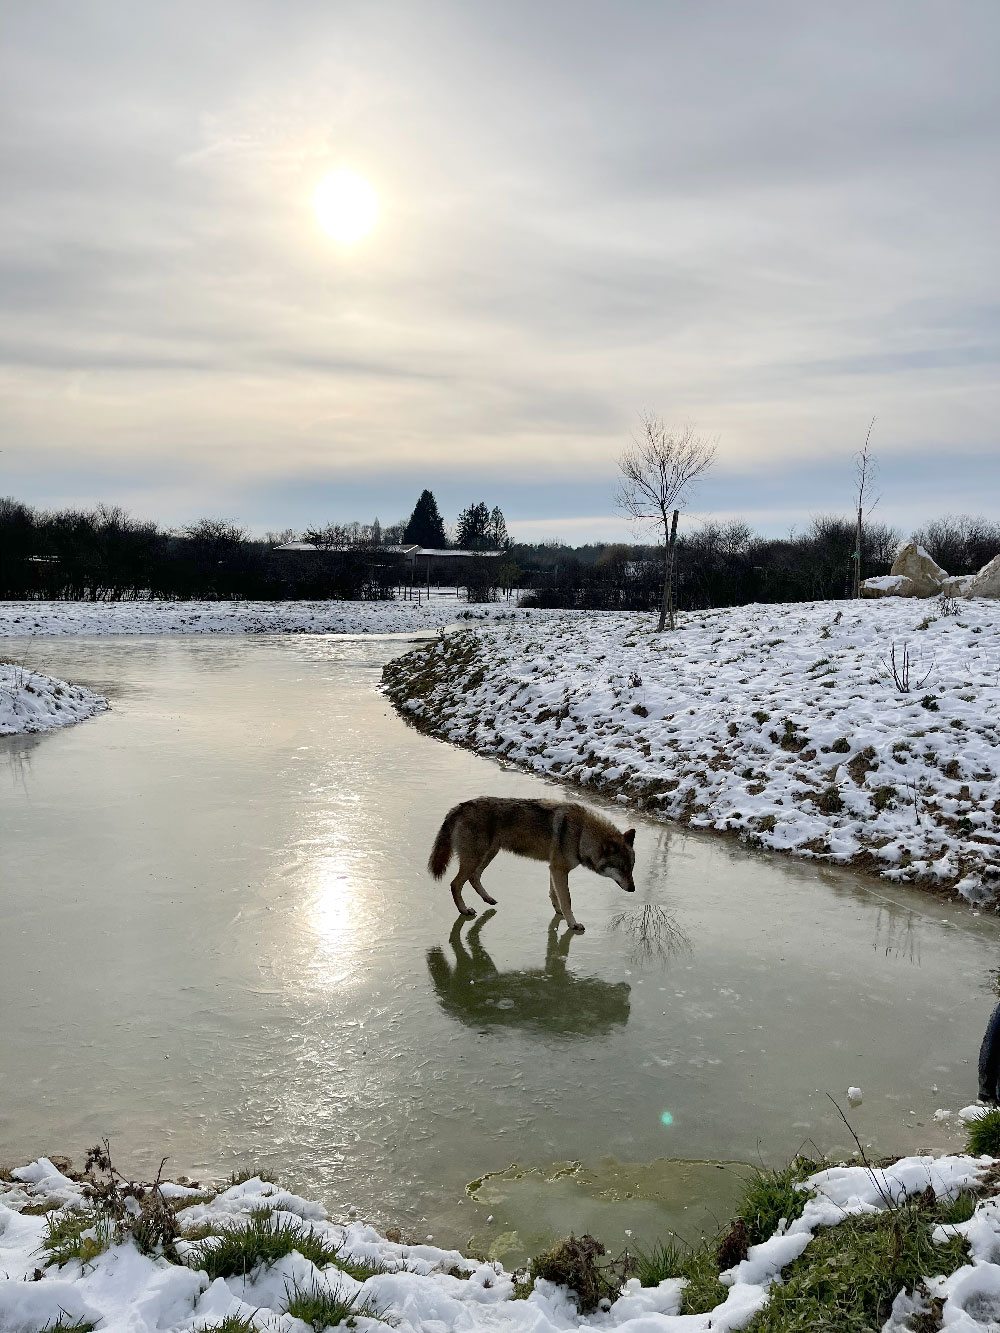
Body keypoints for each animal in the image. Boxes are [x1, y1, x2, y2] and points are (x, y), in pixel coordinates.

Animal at [429, 794, 634, 933]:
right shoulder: (559, 869)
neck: (581, 834)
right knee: (455, 884)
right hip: (476, 858)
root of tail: (460, 806)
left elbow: (554, 894)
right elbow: (567, 899)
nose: (633, 889)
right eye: (622, 868)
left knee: (474, 877)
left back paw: (488, 899)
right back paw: (464, 910)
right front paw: (573, 924)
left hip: (488, 855)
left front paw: (558, 912)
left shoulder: (554, 868)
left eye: (631, 868)